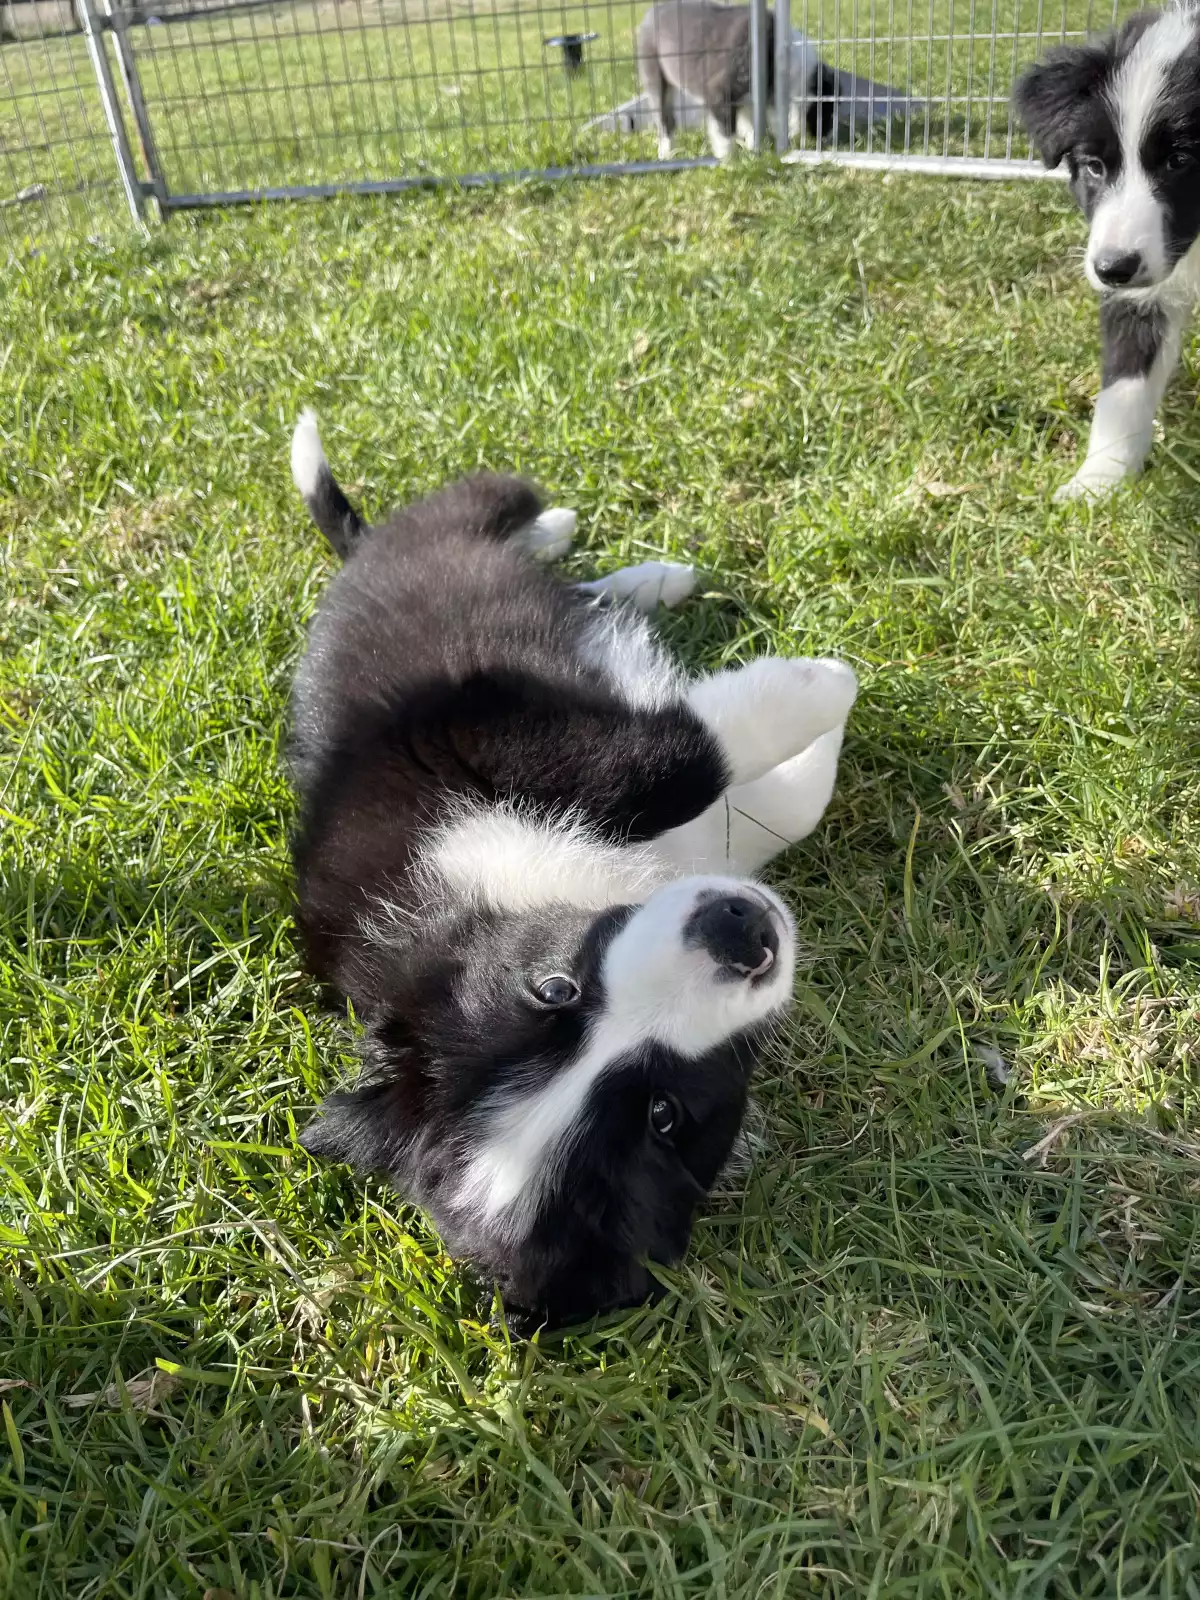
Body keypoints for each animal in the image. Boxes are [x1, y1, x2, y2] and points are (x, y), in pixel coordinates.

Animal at [287, 411, 857, 1333]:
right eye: (663, 1116)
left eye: (553, 989)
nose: (738, 932)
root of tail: (358, 559)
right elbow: (692, 763)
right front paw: (821, 689)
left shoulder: (461, 731)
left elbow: (691, 776)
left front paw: (824, 684)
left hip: (458, 534)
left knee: (496, 510)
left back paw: (596, 549)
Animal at [634, 0, 918, 159]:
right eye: (827, 109)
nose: (830, 138)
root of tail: (650, 13)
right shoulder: (721, 92)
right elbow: (725, 130)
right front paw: (730, 159)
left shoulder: (751, 98)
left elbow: (749, 124)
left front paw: (752, 148)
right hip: (654, 73)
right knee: (664, 119)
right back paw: (667, 153)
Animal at [1015, 6, 1200, 500]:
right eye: (1095, 167)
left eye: (1180, 161)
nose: (1113, 268)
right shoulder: (1140, 298)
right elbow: (1124, 388)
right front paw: (1099, 482)